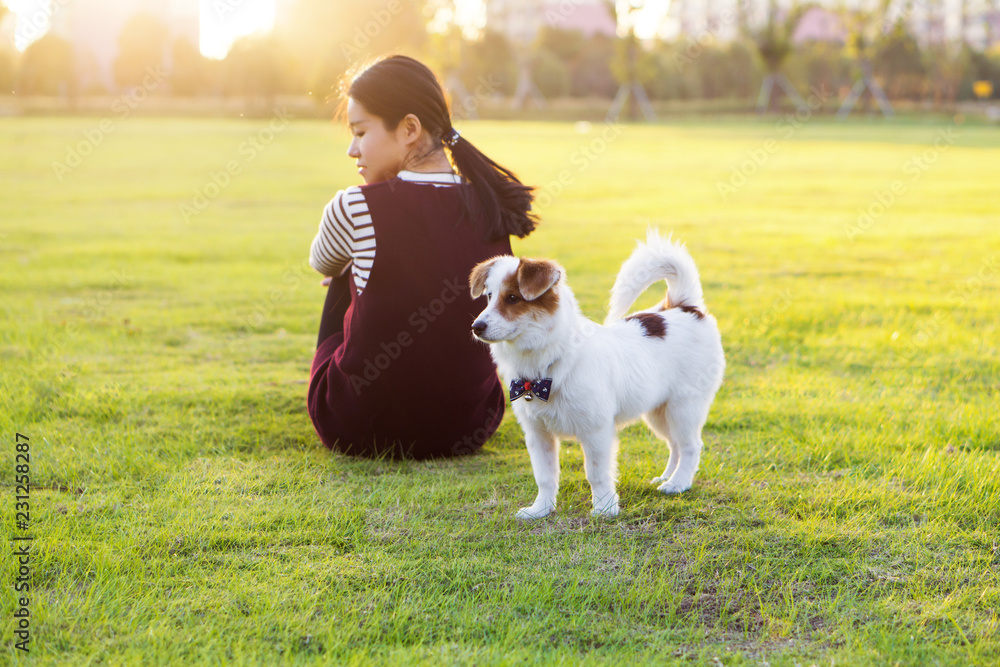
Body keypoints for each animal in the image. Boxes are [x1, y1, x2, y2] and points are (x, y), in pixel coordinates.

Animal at [468, 232, 728, 520]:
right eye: (489, 296)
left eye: (513, 298)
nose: (476, 327)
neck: (548, 365)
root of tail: (684, 307)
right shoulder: (537, 433)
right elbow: (545, 475)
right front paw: (541, 509)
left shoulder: (596, 431)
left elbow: (597, 473)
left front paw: (604, 507)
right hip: (658, 411)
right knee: (675, 445)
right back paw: (666, 477)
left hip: (683, 407)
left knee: (691, 445)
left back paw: (678, 484)